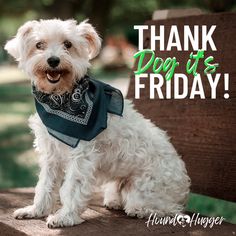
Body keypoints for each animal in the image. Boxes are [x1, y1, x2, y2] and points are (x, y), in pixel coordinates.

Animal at [4, 19, 191, 228]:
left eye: (68, 44)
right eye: (39, 45)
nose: (53, 60)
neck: (60, 99)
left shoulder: (82, 155)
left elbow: (72, 188)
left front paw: (65, 217)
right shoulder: (51, 155)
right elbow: (45, 185)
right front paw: (36, 211)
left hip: (143, 191)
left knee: (167, 210)